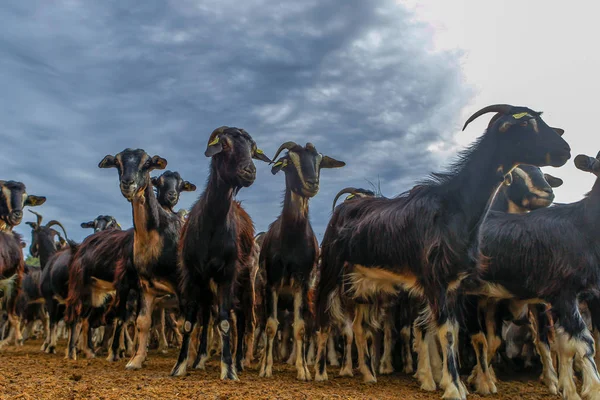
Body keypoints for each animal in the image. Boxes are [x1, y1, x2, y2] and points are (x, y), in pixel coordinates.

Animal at [170, 126, 270, 380]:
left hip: (246, 281)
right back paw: (202, 359)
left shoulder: (227, 273)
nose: (250, 171)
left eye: (253, 151)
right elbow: (190, 322)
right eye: (224, 145)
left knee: (243, 319)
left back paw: (240, 360)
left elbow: (225, 322)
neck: (211, 225)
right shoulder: (192, 274)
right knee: (210, 317)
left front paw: (228, 369)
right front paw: (180, 365)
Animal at [255, 141, 344, 382]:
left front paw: (303, 369)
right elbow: (270, 327)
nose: (312, 184)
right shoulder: (272, 283)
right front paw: (266, 368)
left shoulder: (303, 285)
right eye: (288, 161)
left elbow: (301, 328)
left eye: (319, 162)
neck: (291, 242)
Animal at [312, 104, 568, 400]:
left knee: (359, 327)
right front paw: (454, 387)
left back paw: (367, 374)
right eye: (526, 123)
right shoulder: (436, 281)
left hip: (362, 284)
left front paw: (455, 383)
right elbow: (446, 334)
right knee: (323, 317)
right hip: (331, 268)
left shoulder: (456, 286)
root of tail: (343, 208)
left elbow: (454, 333)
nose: (566, 150)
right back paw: (319, 372)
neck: (454, 206)